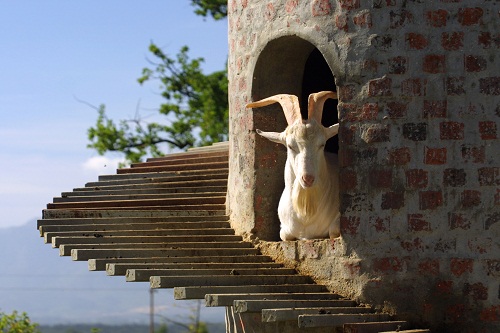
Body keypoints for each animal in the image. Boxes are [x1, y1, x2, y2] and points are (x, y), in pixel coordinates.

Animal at [246, 91, 340, 240]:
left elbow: (334, 231)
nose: (307, 179)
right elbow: (284, 235)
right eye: (290, 146)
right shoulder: (284, 230)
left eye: (322, 144)